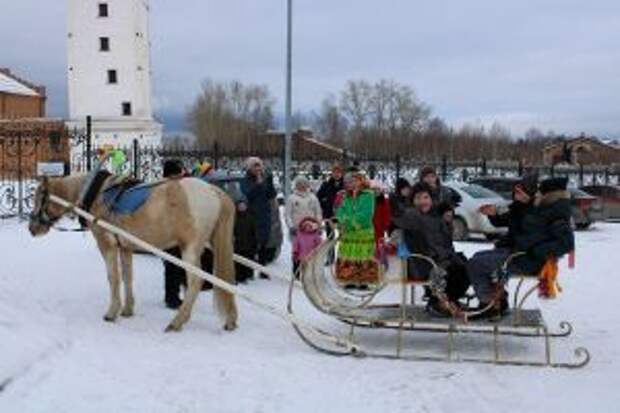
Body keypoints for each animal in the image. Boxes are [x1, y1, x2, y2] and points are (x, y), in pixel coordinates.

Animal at [28, 173, 237, 332]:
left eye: (39, 199)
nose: (32, 228)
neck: (97, 195)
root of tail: (214, 191)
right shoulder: (126, 247)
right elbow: (128, 277)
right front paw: (127, 309)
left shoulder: (107, 245)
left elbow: (113, 278)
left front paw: (112, 312)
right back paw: (230, 319)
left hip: (190, 249)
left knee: (196, 281)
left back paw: (177, 321)